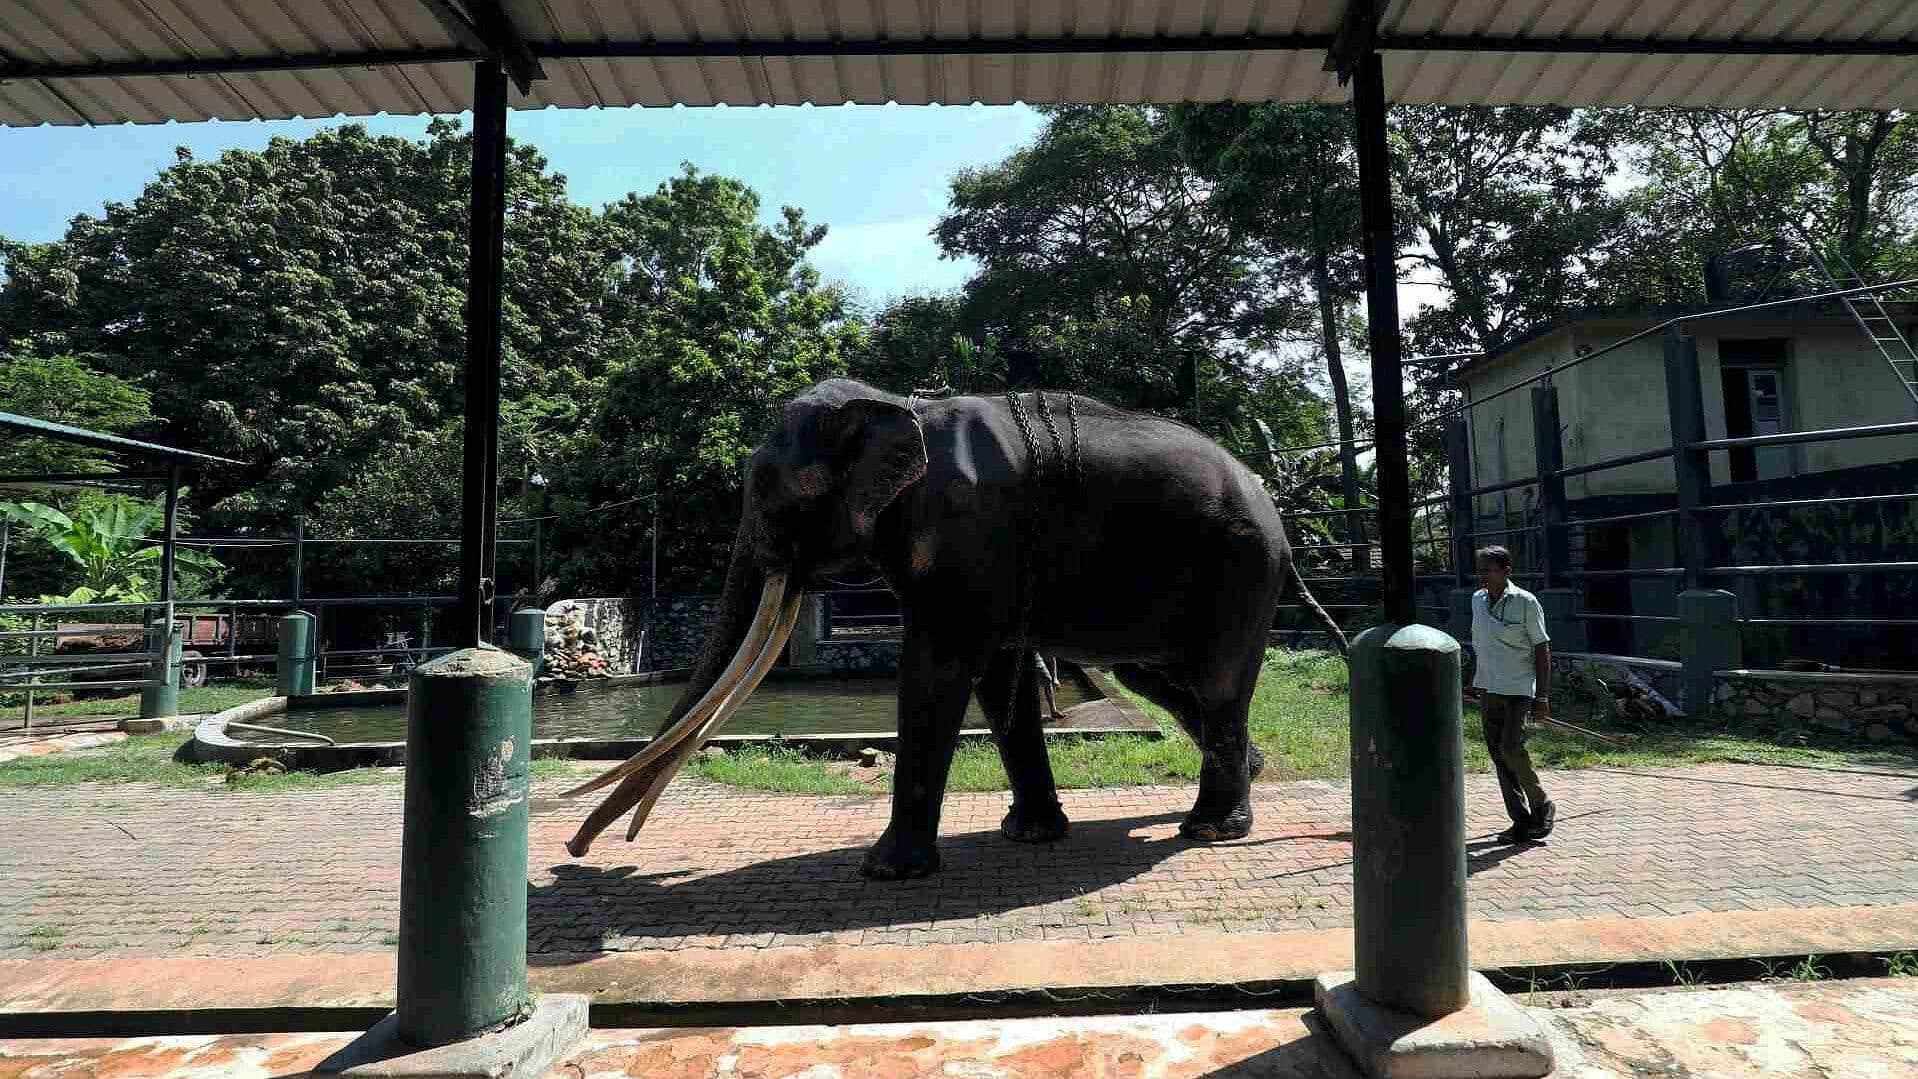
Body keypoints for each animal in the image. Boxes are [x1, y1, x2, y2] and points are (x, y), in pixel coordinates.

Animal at [564, 378, 1347, 879]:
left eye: (766, 488)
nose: (577, 852)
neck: (896, 405)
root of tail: (1276, 505)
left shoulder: (966, 537)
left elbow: (937, 670)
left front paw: (886, 871)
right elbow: (997, 679)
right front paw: (1028, 835)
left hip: (1240, 566)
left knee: (1214, 682)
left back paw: (1211, 829)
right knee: (1155, 677)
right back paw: (1246, 778)